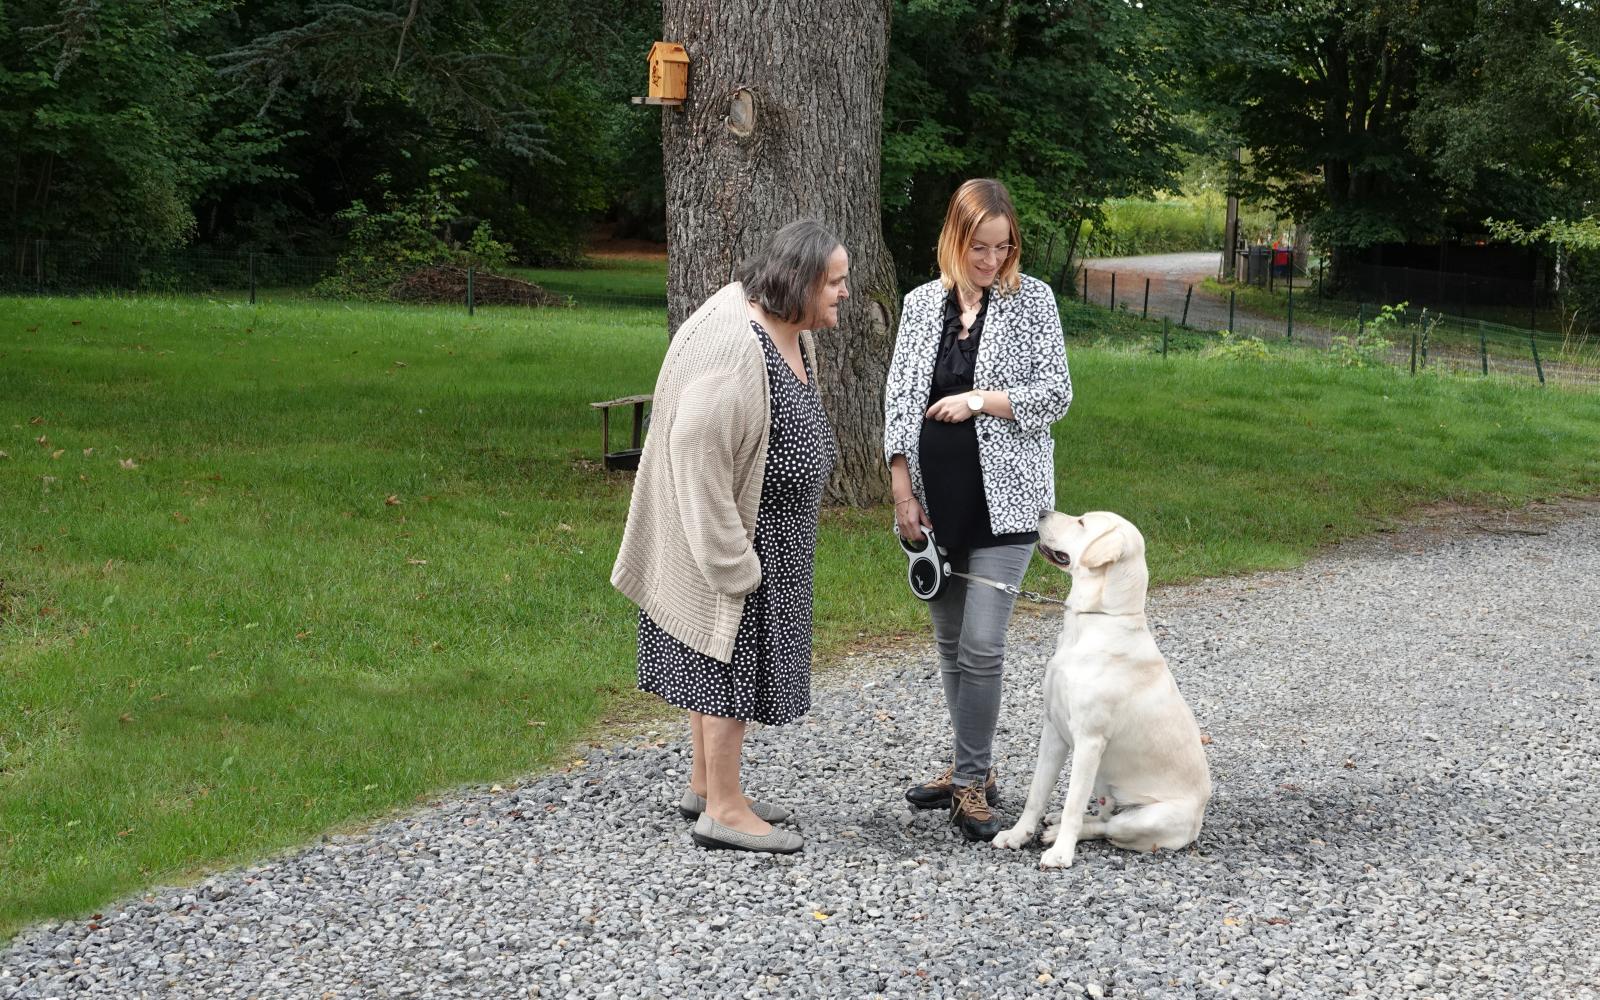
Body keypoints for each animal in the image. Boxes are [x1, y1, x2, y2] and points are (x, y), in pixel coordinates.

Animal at [985, 512, 1209, 864]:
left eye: (1081, 523)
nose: (1041, 513)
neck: (1098, 619)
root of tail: (1197, 824)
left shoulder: (1089, 741)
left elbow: (1073, 804)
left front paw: (1061, 854)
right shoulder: (1053, 729)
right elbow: (1037, 792)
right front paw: (1017, 835)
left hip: (1150, 817)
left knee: (1107, 827)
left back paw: (1057, 835)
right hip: (1106, 787)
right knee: (1102, 817)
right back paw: (1052, 822)